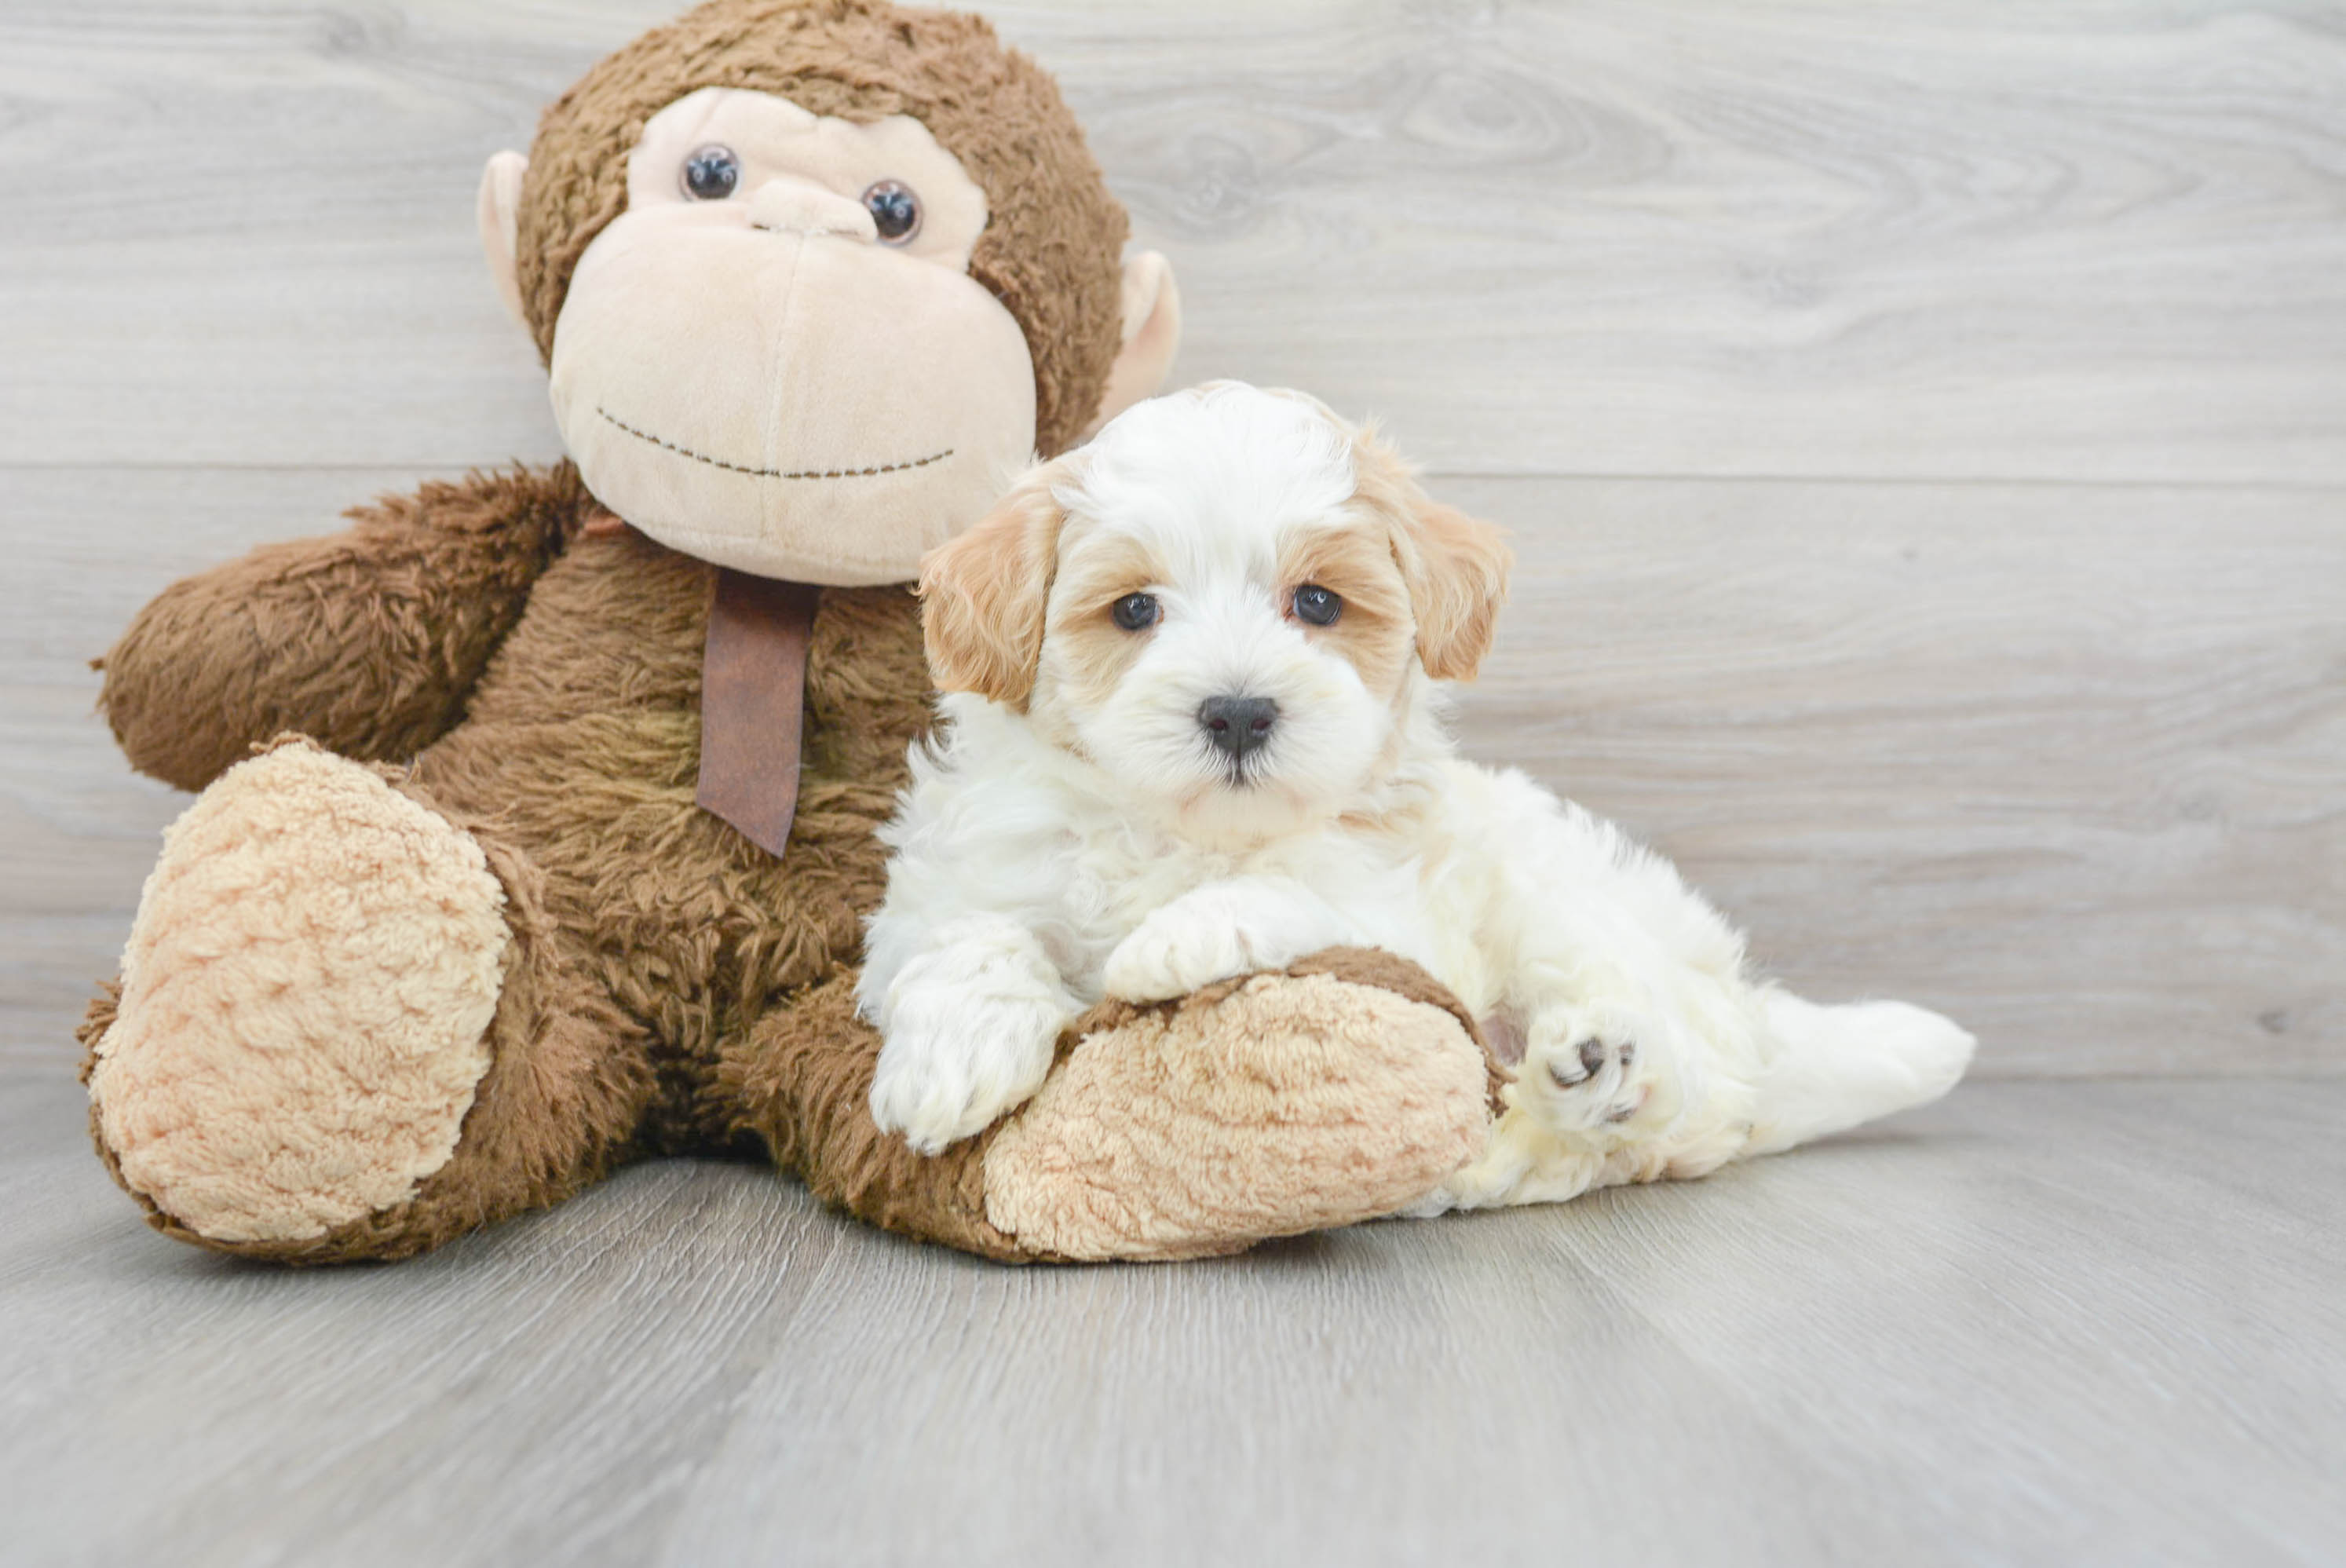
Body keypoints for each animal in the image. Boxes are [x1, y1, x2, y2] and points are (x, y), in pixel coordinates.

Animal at [853, 382, 1970, 1211]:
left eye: (1316, 601)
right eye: (1133, 610)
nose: (1240, 712)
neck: (1188, 833)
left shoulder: (1399, 907)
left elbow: (1304, 892)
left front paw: (1183, 934)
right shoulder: (950, 884)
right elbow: (970, 935)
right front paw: (953, 1060)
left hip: (1567, 898)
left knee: (1675, 1073)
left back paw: (1605, 1061)